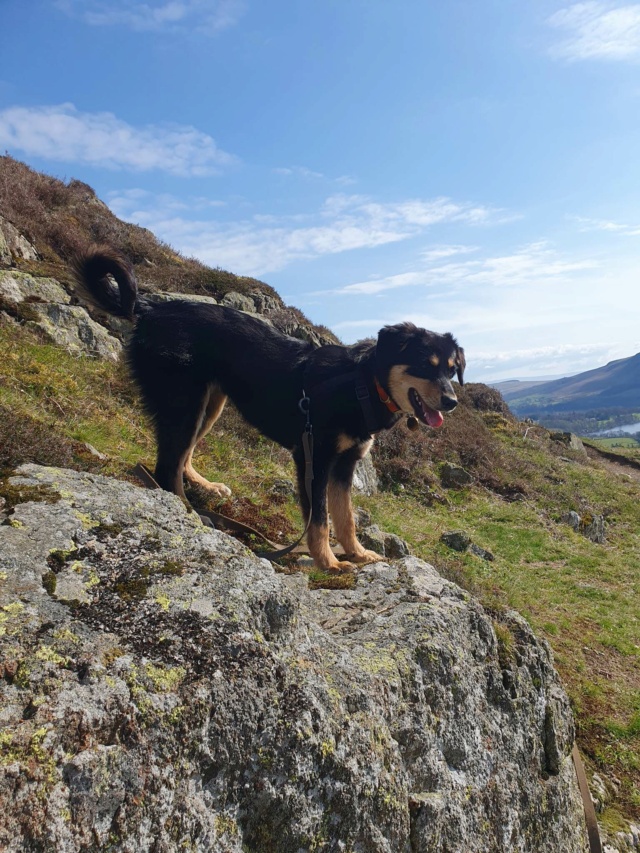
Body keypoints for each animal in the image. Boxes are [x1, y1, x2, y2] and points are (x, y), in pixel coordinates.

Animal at [74, 246, 464, 568]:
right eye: (425, 365)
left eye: (451, 369)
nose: (452, 402)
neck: (361, 384)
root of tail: (150, 307)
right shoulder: (313, 458)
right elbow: (319, 520)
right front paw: (328, 562)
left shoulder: (344, 464)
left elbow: (346, 517)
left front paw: (357, 553)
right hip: (184, 403)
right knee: (167, 467)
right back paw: (192, 515)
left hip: (209, 405)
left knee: (183, 455)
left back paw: (206, 487)